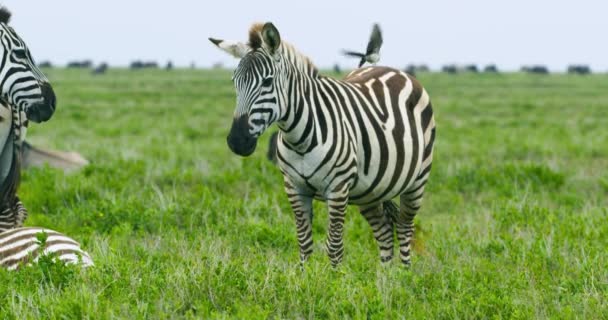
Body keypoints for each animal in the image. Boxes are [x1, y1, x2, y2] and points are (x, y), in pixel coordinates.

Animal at [211, 23, 434, 268]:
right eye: (234, 82)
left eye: (267, 82)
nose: (237, 142)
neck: (298, 138)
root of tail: (394, 70)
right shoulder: (294, 188)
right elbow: (304, 243)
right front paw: (305, 277)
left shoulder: (337, 189)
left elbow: (334, 247)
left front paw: (335, 279)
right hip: (370, 190)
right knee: (384, 230)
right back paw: (386, 276)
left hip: (417, 180)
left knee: (404, 227)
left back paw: (404, 274)